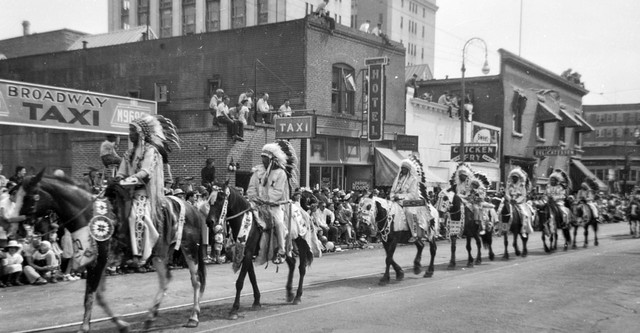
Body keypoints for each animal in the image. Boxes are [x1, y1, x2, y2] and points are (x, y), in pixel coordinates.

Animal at [16, 171, 208, 332]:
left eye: (29, 196)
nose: (18, 227)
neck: (87, 215)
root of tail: (192, 207)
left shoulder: (99, 261)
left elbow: (91, 295)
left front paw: (84, 327)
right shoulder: (98, 262)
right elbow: (98, 295)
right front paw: (120, 324)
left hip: (189, 248)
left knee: (196, 280)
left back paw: (193, 317)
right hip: (159, 254)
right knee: (165, 279)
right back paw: (150, 319)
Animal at [206, 182, 314, 320]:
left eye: (220, 198)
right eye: (209, 199)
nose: (209, 221)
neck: (246, 222)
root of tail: (301, 210)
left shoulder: (247, 253)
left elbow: (240, 281)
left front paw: (234, 309)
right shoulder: (246, 254)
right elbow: (252, 277)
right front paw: (257, 301)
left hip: (301, 242)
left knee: (302, 268)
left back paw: (298, 296)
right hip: (285, 246)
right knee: (292, 264)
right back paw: (290, 293)